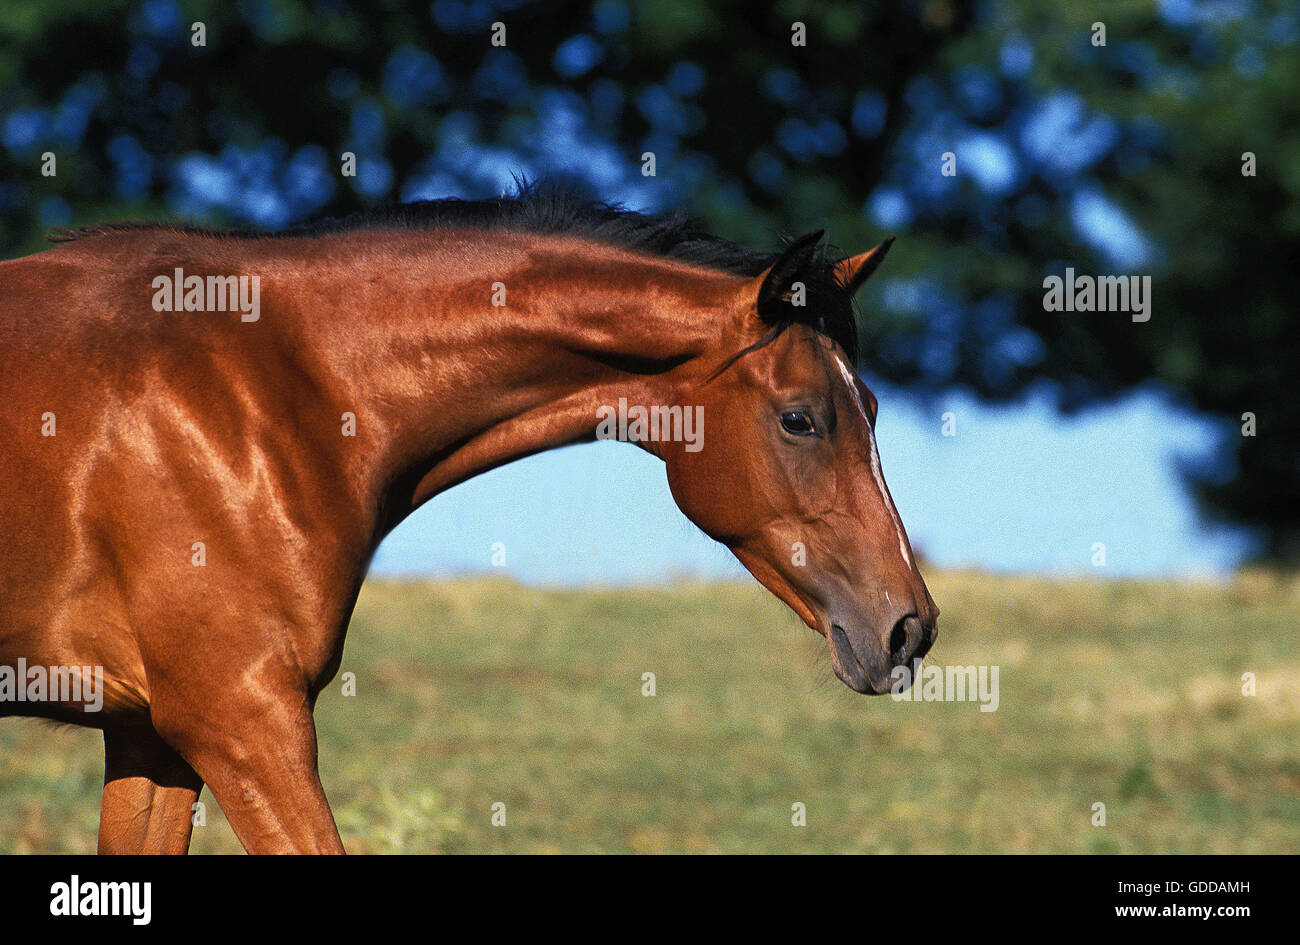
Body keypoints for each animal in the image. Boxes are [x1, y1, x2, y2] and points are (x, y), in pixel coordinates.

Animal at [0, 188, 935, 852]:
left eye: (872, 406)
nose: (910, 627)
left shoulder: (151, 736)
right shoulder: (239, 718)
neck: (264, 387)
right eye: (800, 418)